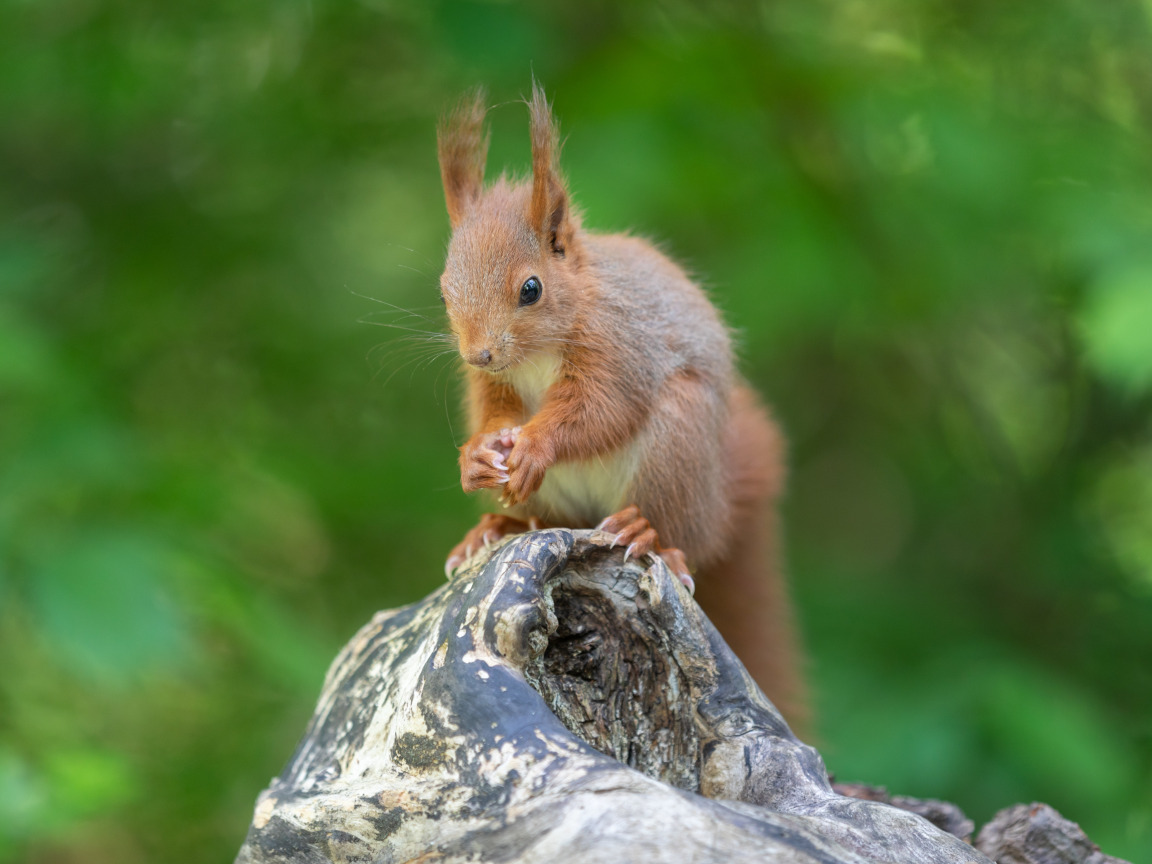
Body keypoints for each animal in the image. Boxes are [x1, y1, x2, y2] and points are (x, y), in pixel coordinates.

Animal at [435, 84, 806, 728]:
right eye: (444, 287)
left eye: (530, 288)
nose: (479, 353)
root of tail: (717, 503)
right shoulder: (494, 386)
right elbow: (495, 416)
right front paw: (477, 456)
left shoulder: (619, 347)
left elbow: (600, 411)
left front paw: (535, 446)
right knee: (546, 522)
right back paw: (496, 526)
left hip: (679, 443)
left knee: (680, 534)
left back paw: (644, 529)